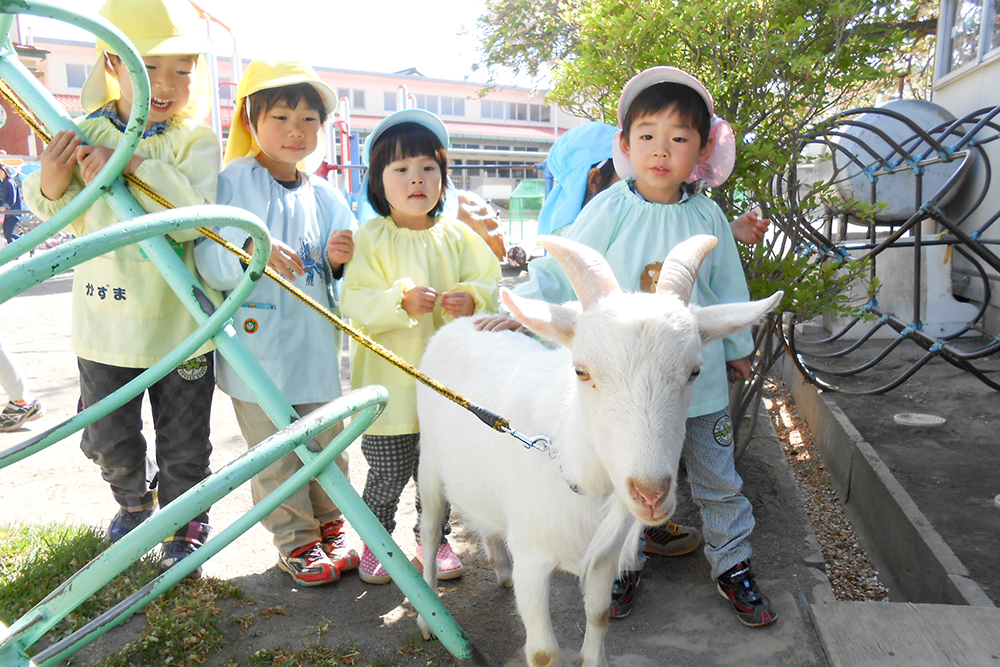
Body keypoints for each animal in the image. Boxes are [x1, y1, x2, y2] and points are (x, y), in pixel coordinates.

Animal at [414, 232, 780, 664]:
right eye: (581, 370)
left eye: (694, 371)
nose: (651, 494)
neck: (573, 470)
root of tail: (457, 324)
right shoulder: (532, 558)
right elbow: (543, 652)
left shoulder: (606, 554)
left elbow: (600, 614)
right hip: (429, 464)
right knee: (430, 530)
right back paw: (426, 618)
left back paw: (500, 569)